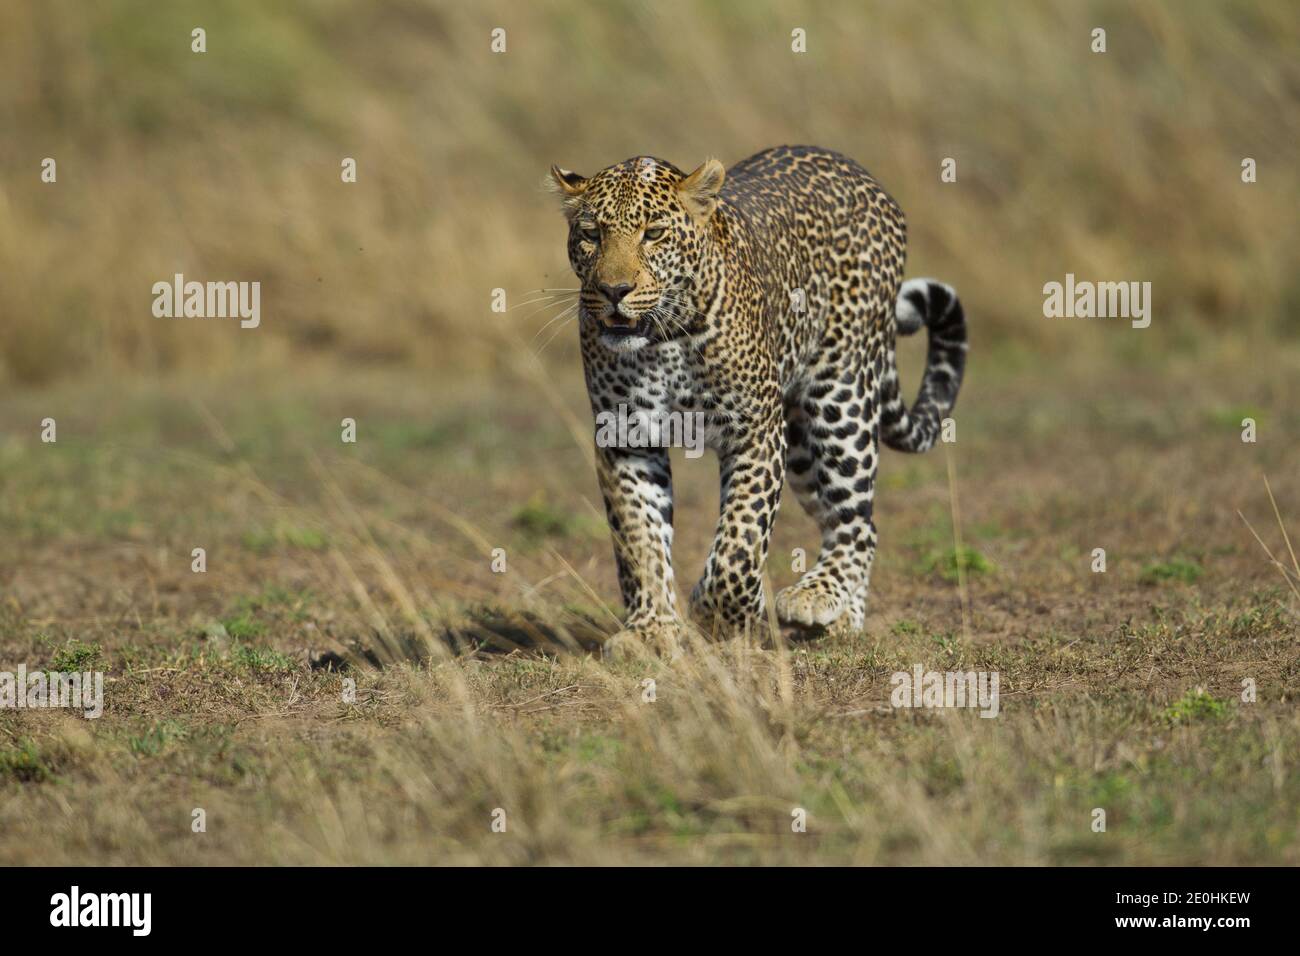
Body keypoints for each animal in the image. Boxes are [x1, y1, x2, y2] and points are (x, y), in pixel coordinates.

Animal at [547, 145, 967, 653]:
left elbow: (742, 538)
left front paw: (719, 616)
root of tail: (863, 176)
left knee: (859, 521)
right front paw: (651, 630)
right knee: (848, 517)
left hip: (840, 399)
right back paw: (842, 617)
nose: (614, 291)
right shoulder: (626, 438)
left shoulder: (755, 431)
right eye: (591, 234)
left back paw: (815, 598)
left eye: (654, 233)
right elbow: (639, 538)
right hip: (802, 440)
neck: (662, 339)